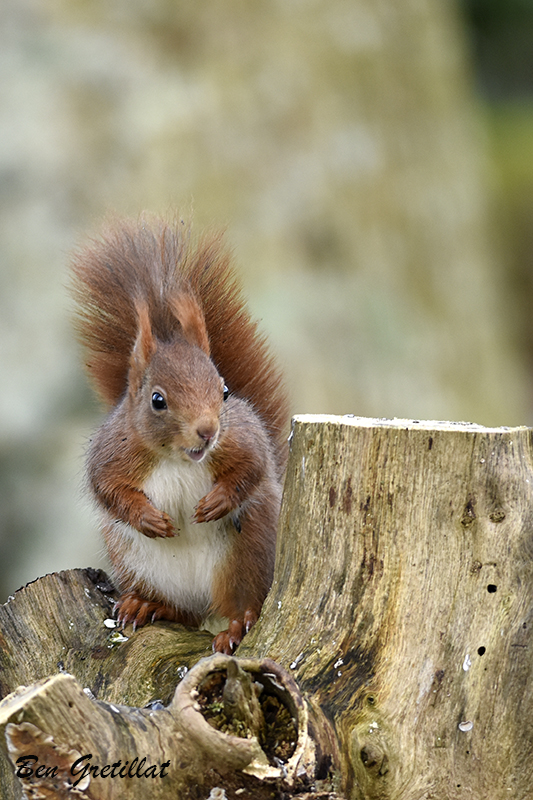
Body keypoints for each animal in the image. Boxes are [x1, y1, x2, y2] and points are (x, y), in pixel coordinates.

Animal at [71, 216, 288, 652]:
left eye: (225, 391)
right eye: (158, 400)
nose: (208, 431)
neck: (177, 457)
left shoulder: (243, 438)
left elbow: (253, 467)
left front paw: (218, 501)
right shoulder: (111, 454)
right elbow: (108, 489)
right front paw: (149, 518)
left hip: (247, 557)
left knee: (242, 605)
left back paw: (236, 626)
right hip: (139, 566)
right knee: (184, 614)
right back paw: (146, 606)